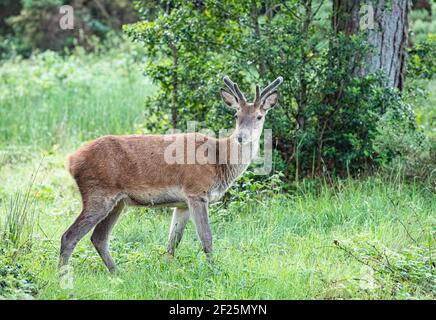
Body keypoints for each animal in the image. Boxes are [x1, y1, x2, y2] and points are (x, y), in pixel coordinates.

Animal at [59, 76, 284, 272]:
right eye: (236, 115)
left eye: (259, 116)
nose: (241, 137)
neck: (219, 161)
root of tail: (71, 160)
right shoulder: (196, 191)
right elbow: (207, 237)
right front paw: (215, 270)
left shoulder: (182, 203)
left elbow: (173, 242)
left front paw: (167, 269)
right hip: (98, 193)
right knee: (69, 236)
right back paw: (62, 276)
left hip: (118, 202)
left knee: (98, 237)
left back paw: (117, 273)